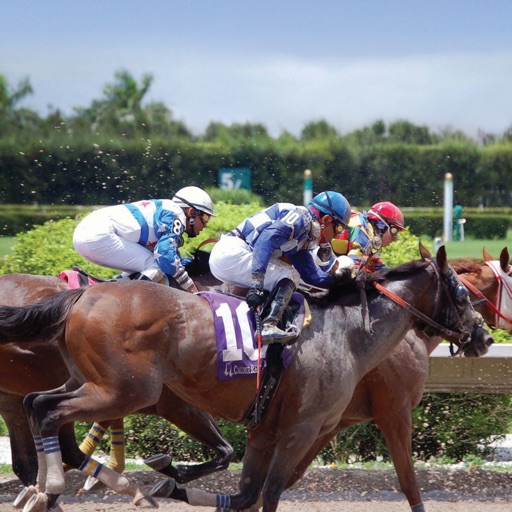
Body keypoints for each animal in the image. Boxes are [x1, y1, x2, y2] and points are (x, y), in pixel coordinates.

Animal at [0, 246, 492, 510]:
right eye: (461, 291)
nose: (485, 336)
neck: (348, 332)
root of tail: (81, 296)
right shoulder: (302, 428)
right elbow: (268, 494)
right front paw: (167, 476)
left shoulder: (266, 431)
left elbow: (243, 494)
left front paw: (170, 480)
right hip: (126, 390)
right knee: (48, 412)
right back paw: (52, 487)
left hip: (89, 382)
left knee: (37, 405)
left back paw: (61, 488)